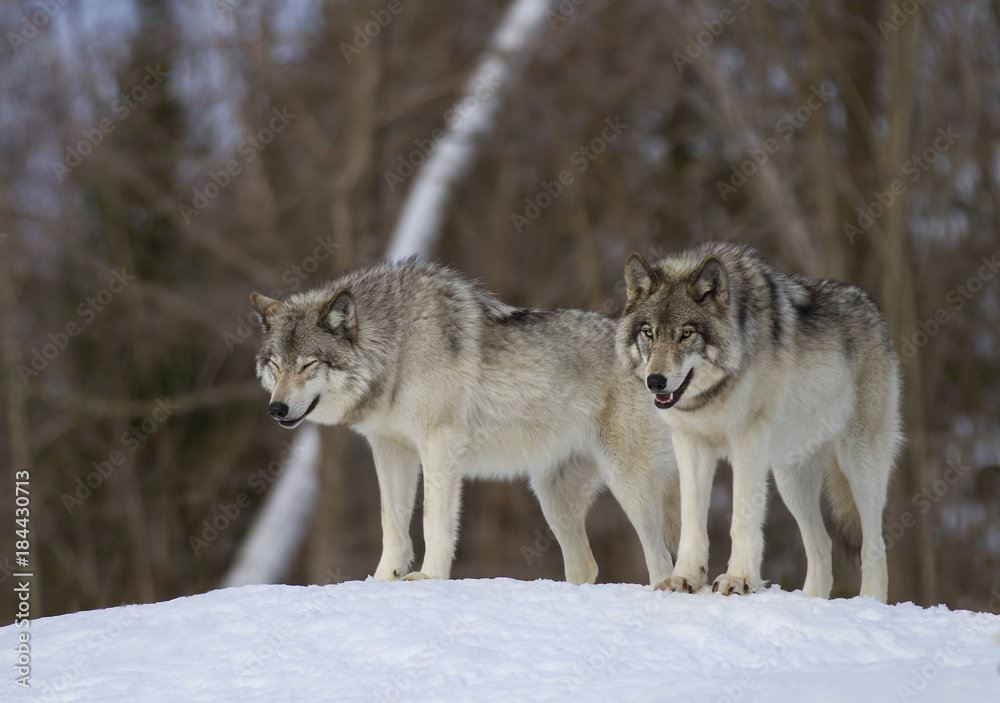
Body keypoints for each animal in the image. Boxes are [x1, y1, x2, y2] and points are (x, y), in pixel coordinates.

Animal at [250, 258, 680, 585]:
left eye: (308, 364)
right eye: (275, 365)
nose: (276, 409)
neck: (396, 350)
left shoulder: (439, 446)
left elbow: (432, 520)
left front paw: (428, 578)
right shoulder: (390, 449)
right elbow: (392, 523)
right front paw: (384, 579)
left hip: (627, 486)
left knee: (660, 558)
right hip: (553, 499)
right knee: (587, 566)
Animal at [616, 241, 902, 602]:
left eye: (686, 334)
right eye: (649, 333)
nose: (655, 381)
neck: (711, 395)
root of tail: (873, 309)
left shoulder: (747, 440)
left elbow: (742, 515)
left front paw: (739, 579)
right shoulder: (689, 442)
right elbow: (692, 516)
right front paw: (685, 577)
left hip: (860, 464)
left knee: (874, 544)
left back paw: (869, 602)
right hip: (790, 478)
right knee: (821, 543)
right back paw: (811, 600)